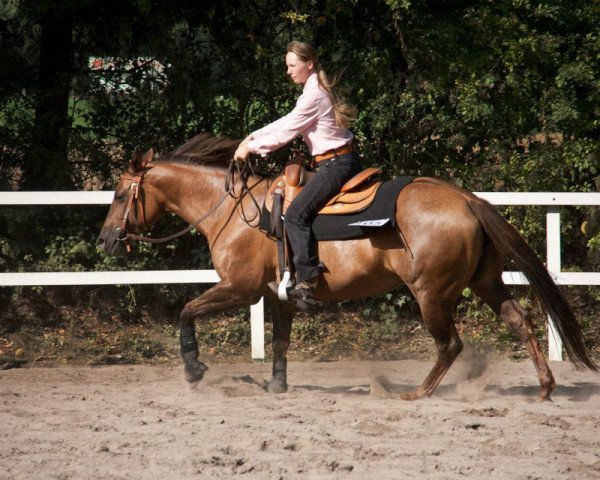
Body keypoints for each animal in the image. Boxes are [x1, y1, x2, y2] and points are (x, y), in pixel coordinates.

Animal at [96, 133, 596, 400]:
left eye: (120, 194)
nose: (104, 240)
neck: (235, 212)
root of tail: (467, 200)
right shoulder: (278, 295)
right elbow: (280, 341)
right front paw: (276, 386)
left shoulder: (240, 288)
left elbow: (187, 311)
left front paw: (194, 368)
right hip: (486, 282)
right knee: (520, 320)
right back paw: (545, 386)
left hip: (431, 294)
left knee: (450, 344)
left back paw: (416, 393)